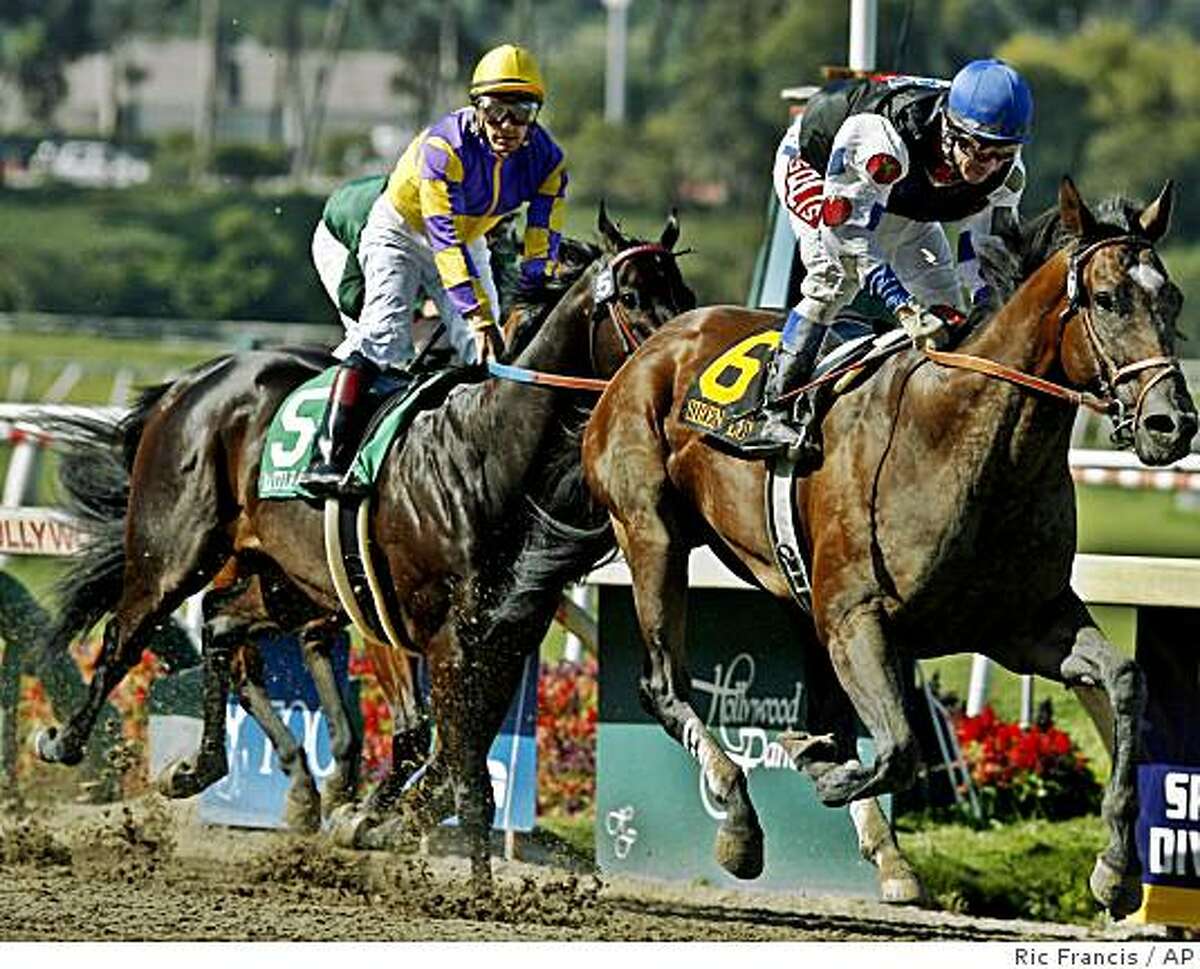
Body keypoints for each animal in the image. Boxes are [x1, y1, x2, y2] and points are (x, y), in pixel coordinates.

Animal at [37, 203, 696, 887]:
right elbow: (454, 764)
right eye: (631, 297)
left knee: (221, 626)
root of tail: (191, 381)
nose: (679, 365)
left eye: (685, 294)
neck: (488, 450)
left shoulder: (506, 636)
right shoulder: (434, 631)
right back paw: (65, 741)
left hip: (289, 580)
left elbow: (453, 759)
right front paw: (476, 889)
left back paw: (210, 769)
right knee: (125, 636)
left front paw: (372, 820)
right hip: (174, 551)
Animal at [580, 177, 1190, 921]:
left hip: (791, 588)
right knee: (663, 683)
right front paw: (822, 770)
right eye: (1107, 299)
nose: (1172, 423)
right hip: (652, 532)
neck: (964, 435)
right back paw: (741, 825)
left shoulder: (1024, 623)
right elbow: (899, 746)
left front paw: (1115, 871)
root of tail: (653, 346)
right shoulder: (857, 615)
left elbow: (1125, 680)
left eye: (1172, 299)